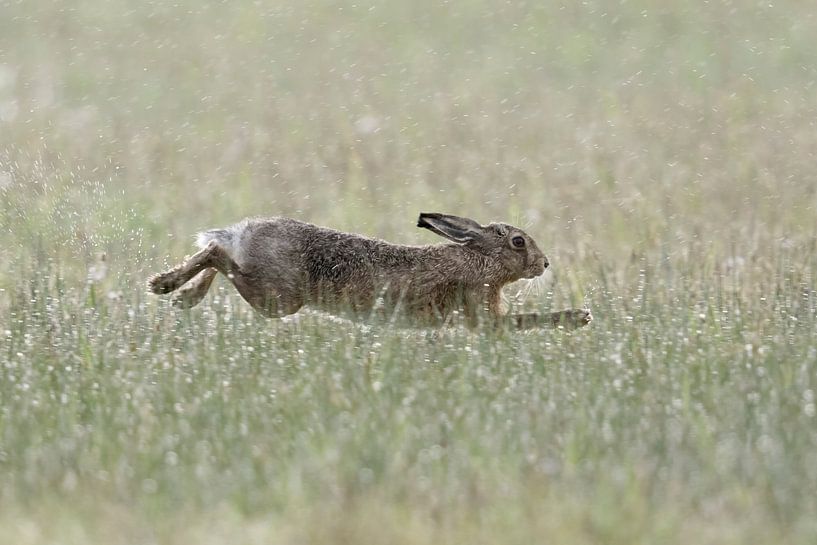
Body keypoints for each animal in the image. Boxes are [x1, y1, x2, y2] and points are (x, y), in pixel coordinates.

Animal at [148, 213, 592, 330]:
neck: (480, 257)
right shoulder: (480, 310)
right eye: (518, 242)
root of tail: (243, 232)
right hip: (279, 299)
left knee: (217, 253)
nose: (544, 264)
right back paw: (164, 285)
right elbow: (519, 322)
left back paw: (183, 296)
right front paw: (578, 317)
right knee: (218, 254)